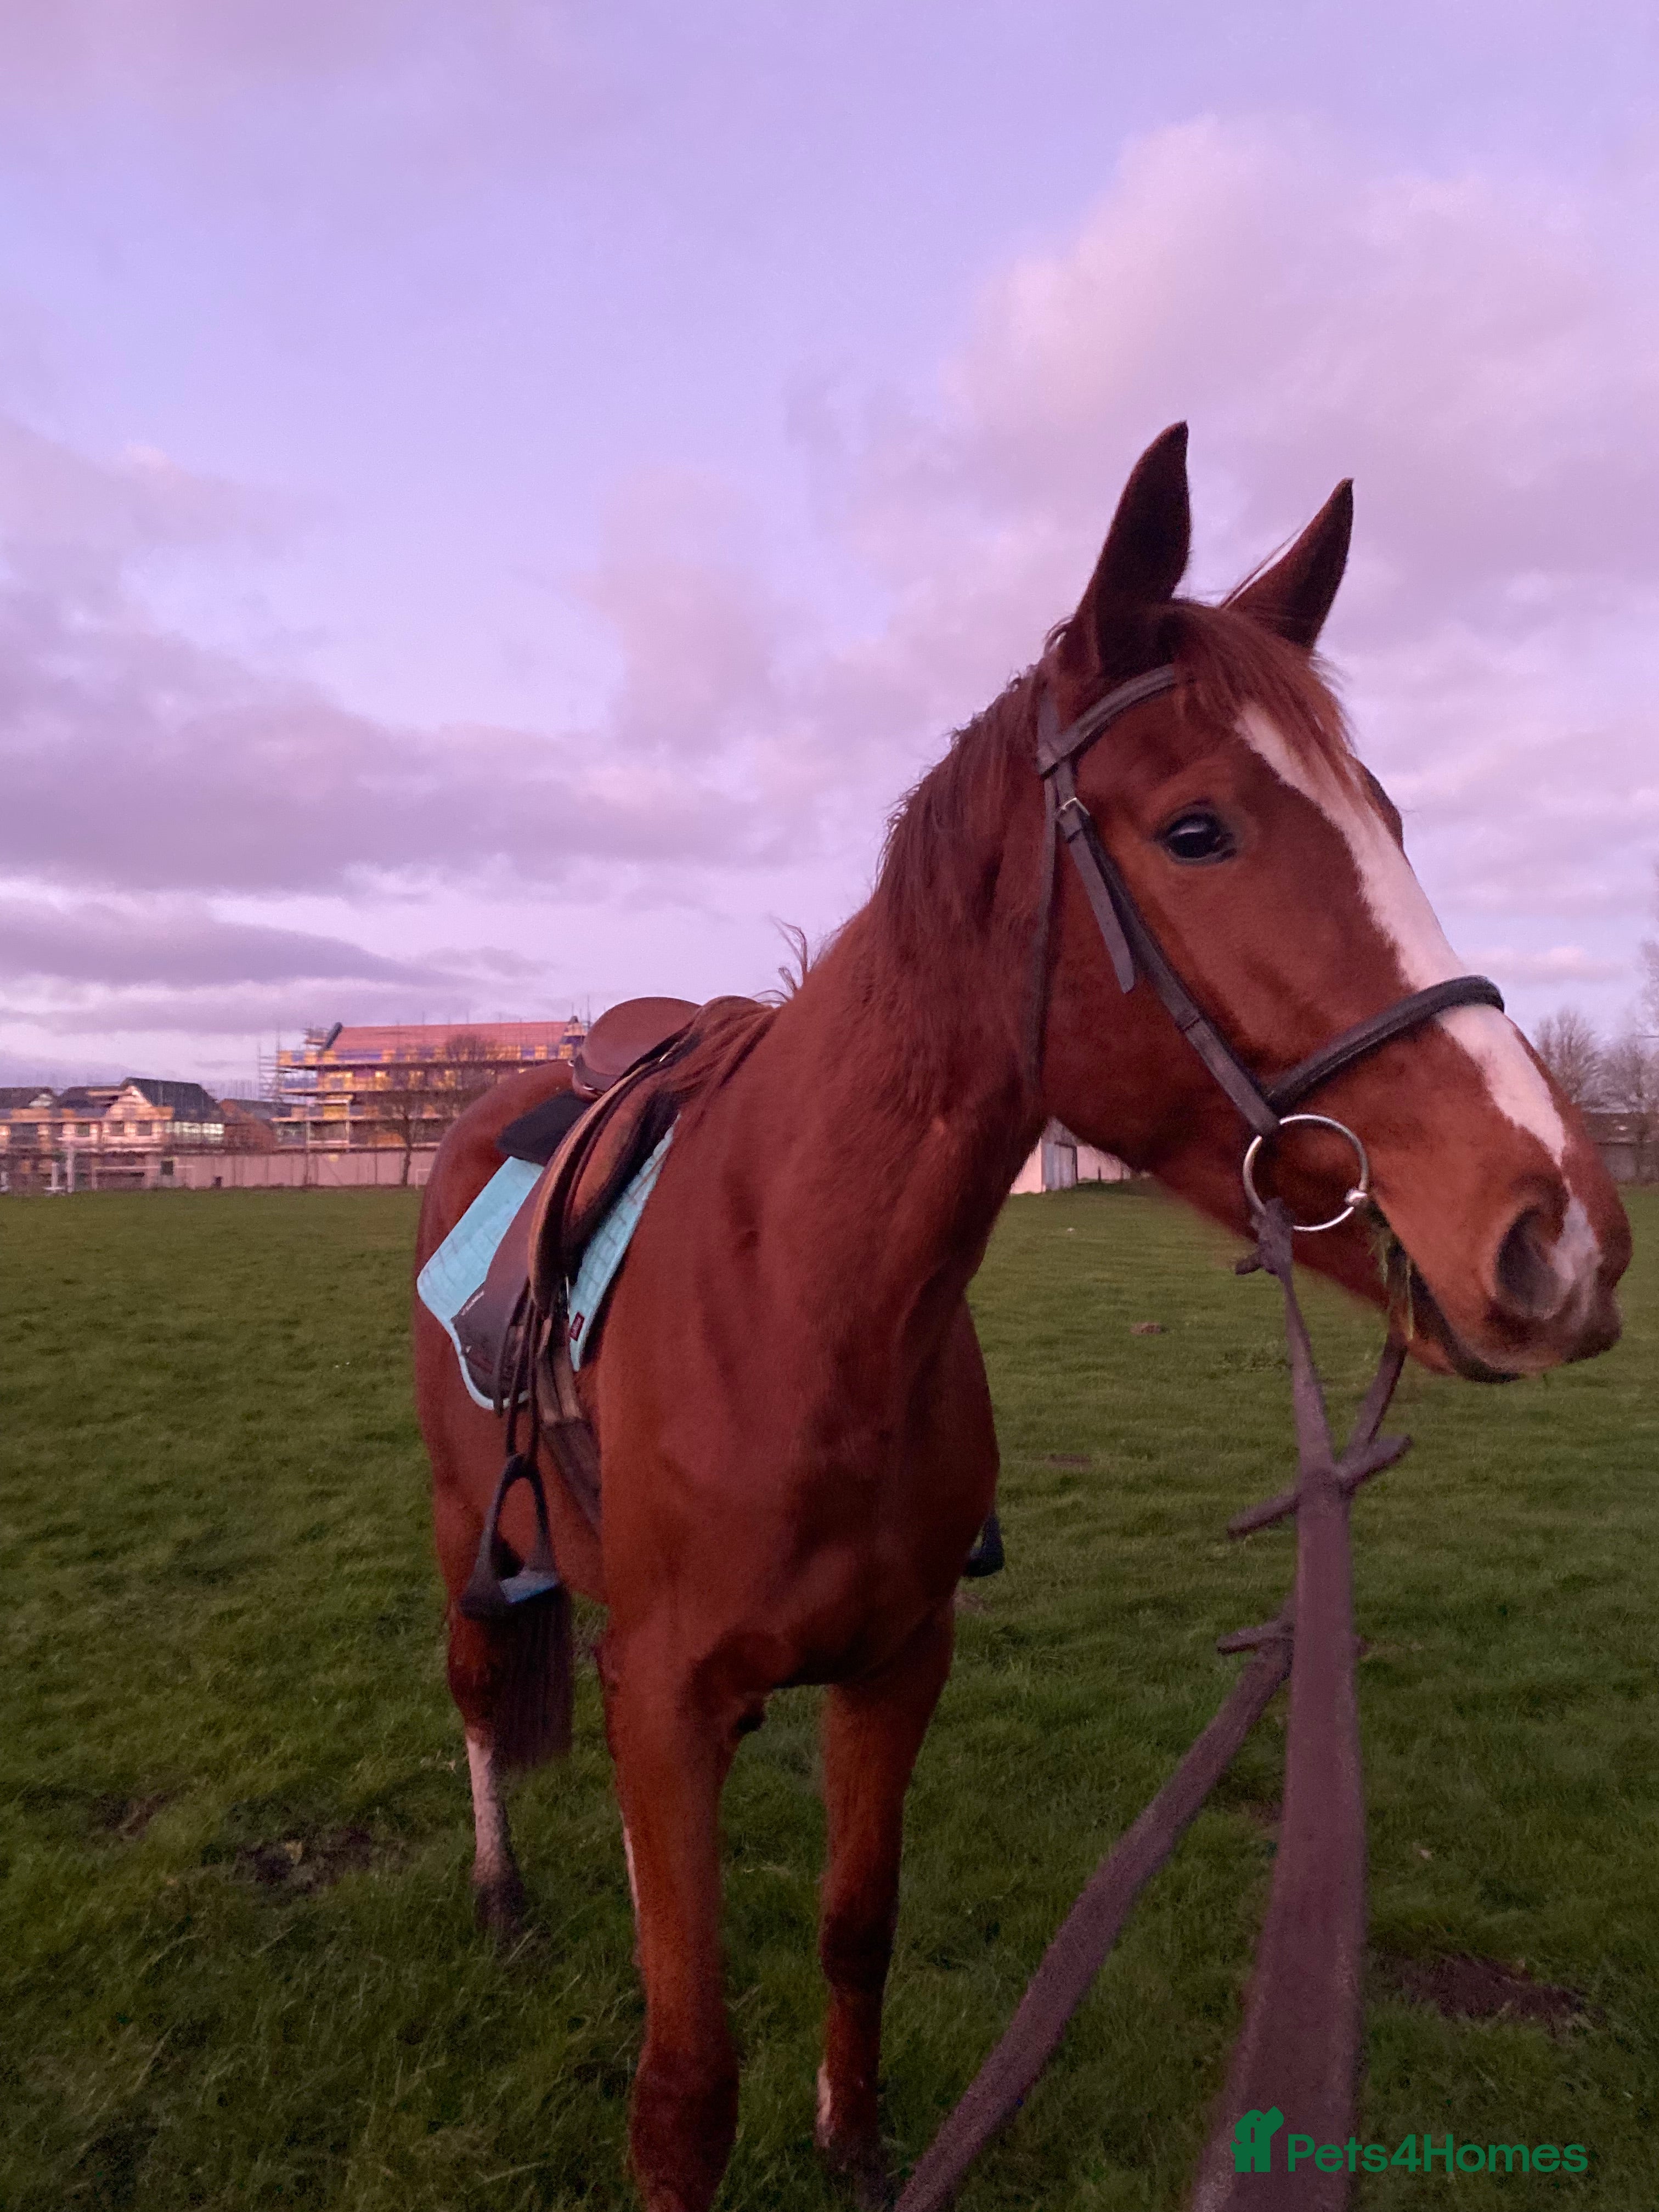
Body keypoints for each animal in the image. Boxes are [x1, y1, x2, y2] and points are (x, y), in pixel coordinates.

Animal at [413, 424, 1629, 2211]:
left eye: (1393, 819)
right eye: (1197, 830)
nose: (1561, 1232)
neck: (806, 1304)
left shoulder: (896, 1667)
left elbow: (855, 1930)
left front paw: (856, 2146)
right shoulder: (667, 1696)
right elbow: (685, 2082)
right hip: (464, 1526)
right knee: (480, 1694)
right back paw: (499, 1903)